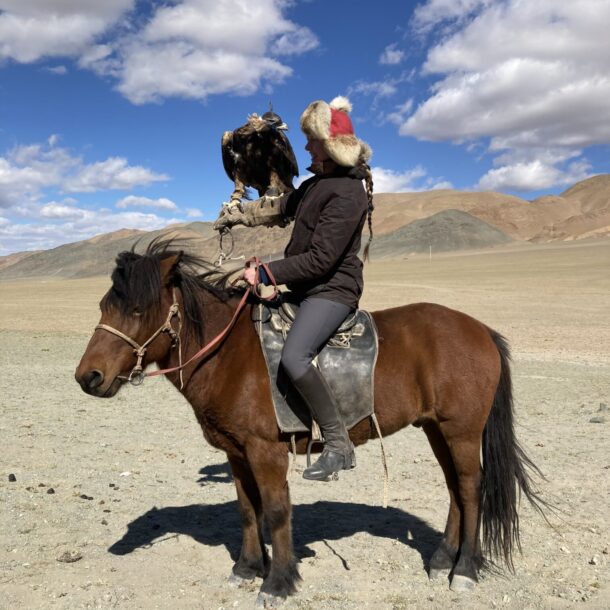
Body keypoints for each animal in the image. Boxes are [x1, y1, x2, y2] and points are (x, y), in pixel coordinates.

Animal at [75, 239, 545, 607]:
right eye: (101, 306)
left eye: (138, 309)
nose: (88, 377)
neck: (228, 355)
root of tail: (481, 330)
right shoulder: (236, 451)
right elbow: (247, 509)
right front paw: (247, 568)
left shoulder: (266, 450)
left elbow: (276, 510)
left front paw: (278, 583)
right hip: (435, 428)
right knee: (454, 488)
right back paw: (442, 559)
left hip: (460, 430)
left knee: (471, 487)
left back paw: (464, 570)